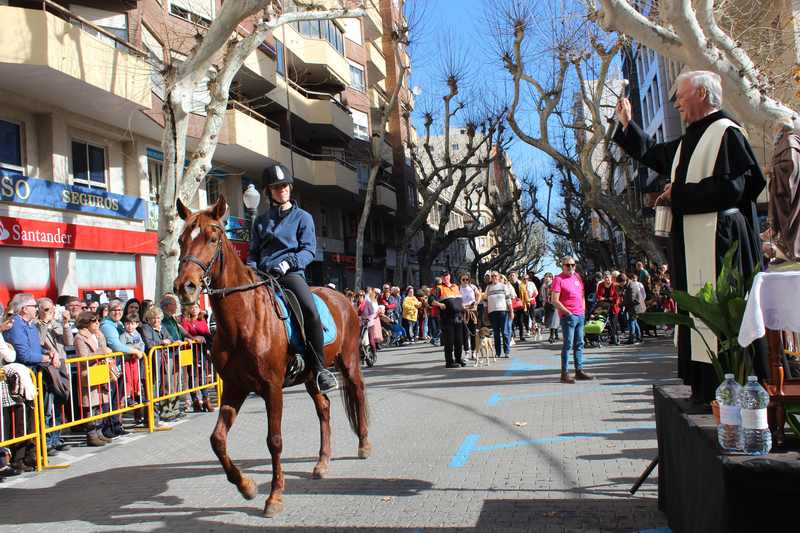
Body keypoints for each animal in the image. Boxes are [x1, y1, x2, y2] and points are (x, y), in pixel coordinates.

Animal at [173, 194, 372, 516]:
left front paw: (275, 496)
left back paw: (364, 445)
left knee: (358, 392)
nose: (184, 287)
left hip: (350, 361)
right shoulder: (235, 388)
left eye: (213, 238)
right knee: (324, 409)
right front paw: (246, 486)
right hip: (311, 376)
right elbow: (217, 440)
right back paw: (322, 462)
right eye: (180, 240)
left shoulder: (272, 387)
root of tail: (342, 297)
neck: (243, 320)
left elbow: (274, 440)